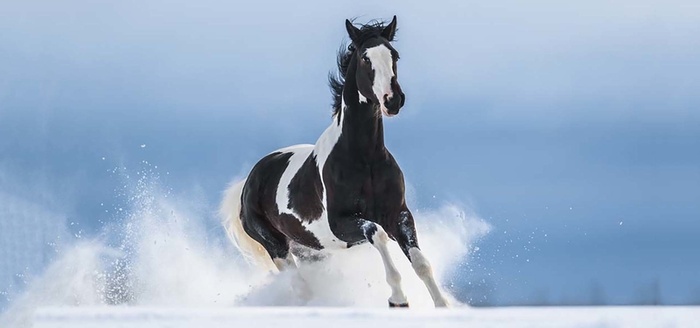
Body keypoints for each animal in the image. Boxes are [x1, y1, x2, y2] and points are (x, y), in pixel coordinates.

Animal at [219, 15, 448, 308]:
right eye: (365, 58)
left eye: (394, 55)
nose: (393, 100)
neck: (364, 159)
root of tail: (248, 181)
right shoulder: (341, 224)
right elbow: (377, 234)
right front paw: (398, 299)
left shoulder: (399, 214)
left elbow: (421, 263)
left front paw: (443, 305)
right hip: (277, 247)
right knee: (300, 287)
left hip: (311, 250)